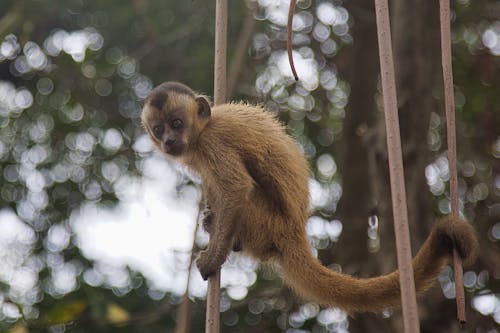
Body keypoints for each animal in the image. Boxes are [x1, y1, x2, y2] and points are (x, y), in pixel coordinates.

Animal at [139, 81, 478, 312]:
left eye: (177, 123)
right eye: (159, 129)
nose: (168, 140)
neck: (202, 129)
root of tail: (293, 230)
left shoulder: (212, 142)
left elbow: (235, 188)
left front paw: (212, 258)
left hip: (265, 220)